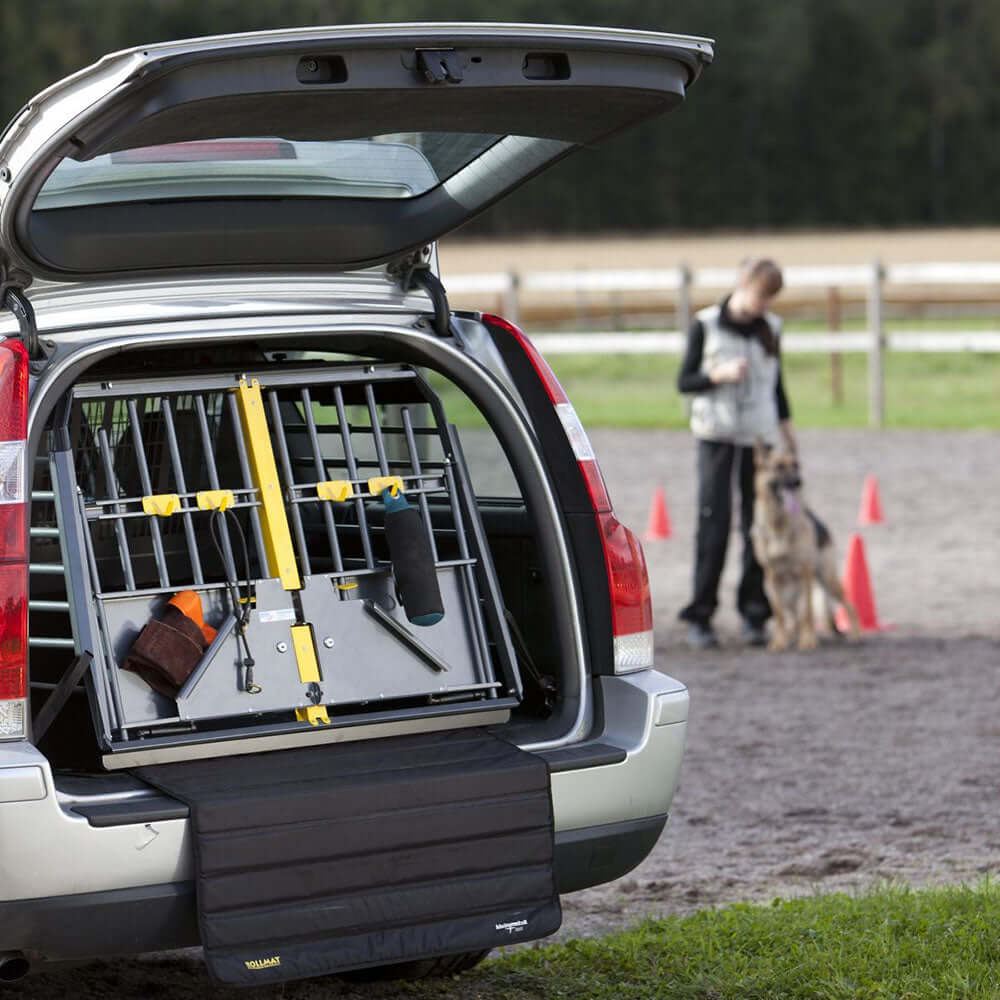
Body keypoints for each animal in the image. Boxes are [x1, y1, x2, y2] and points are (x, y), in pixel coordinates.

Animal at [752, 444, 860, 648]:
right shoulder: (771, 577)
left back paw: (857, 634)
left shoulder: (805, 572)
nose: (797, 482)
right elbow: (779, 614)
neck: (779, 525)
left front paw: (808, 641)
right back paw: (790, 633)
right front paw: (779, 641)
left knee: (847, 605)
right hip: (778, 589)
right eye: (778, 466)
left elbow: (807, 613)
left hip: (826, 578)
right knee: (791, 616)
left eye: (796, 465)